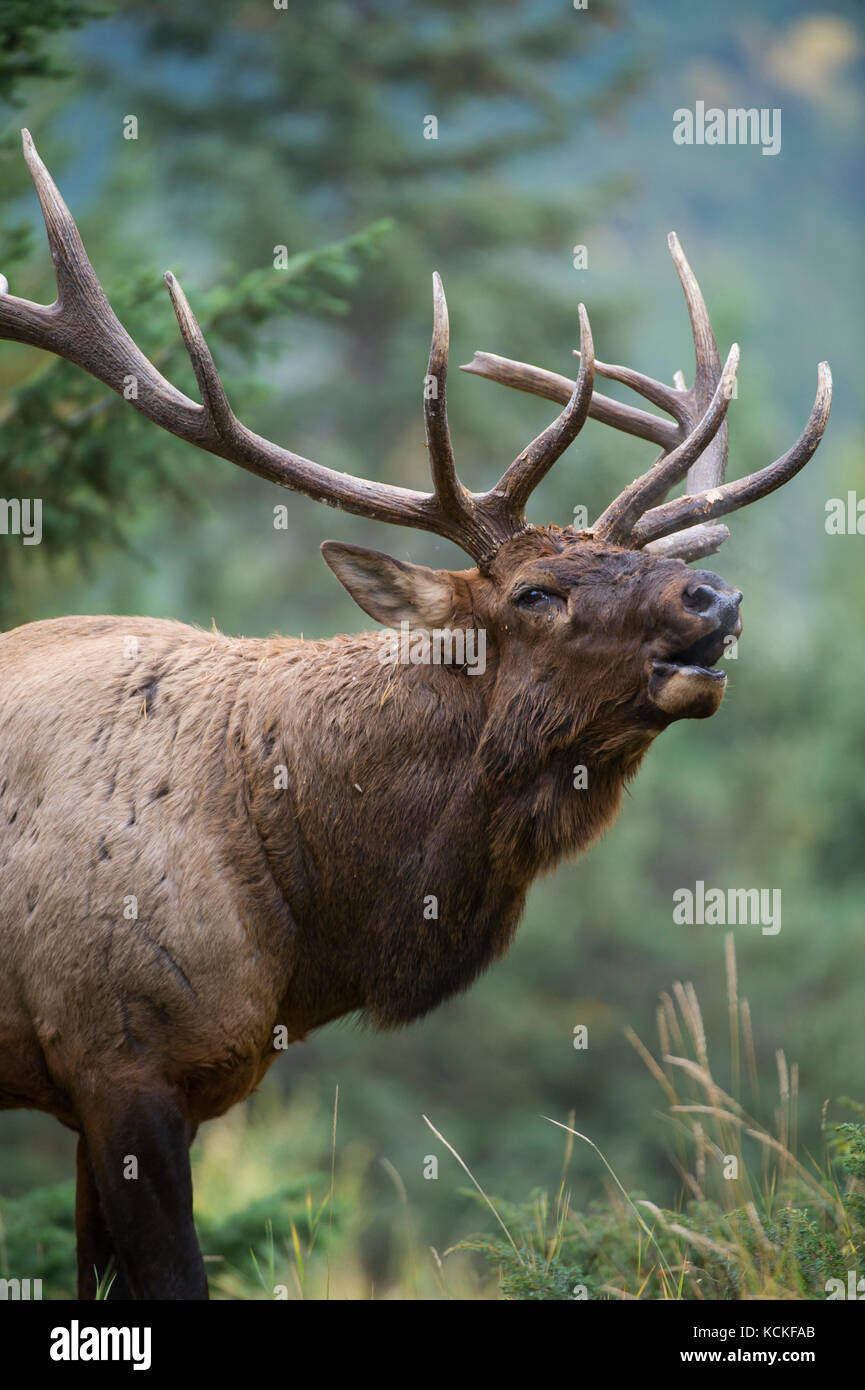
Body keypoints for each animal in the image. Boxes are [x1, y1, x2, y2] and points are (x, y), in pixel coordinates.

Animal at [0, 132, 828, 1301]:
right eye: (534, 593)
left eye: (656, 567)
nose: (713, 599)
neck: (299, 917)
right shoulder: (119, 1057)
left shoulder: (129, 1093)